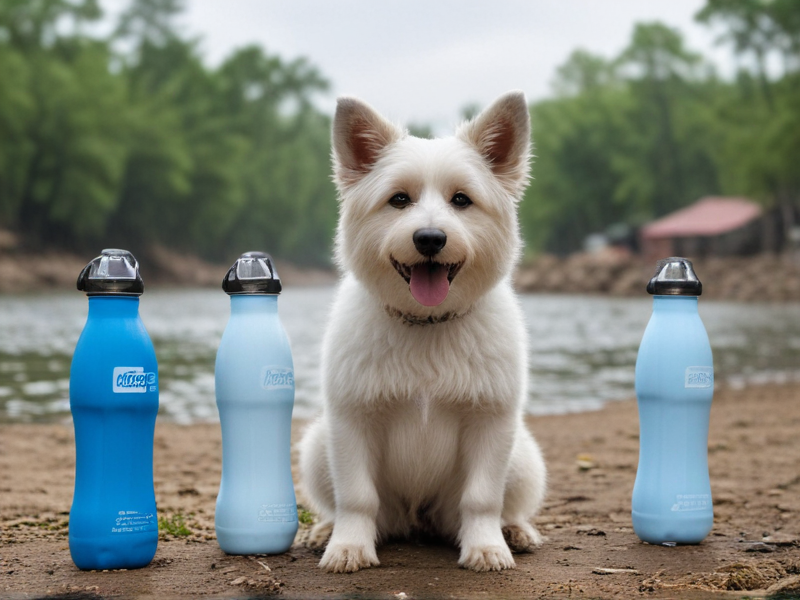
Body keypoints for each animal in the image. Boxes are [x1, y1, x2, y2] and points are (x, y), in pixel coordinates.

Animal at [296, 91, 548, 576]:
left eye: (461, 200)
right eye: (399, 199)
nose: (430, 238)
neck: (427, 324)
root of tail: (418, 518)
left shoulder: (490, 421)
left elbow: (482, 498)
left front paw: (486, 547)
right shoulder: (353, 420)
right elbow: (356, 497)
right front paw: (349, 547)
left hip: (525, 458)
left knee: (505, 506)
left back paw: (515, 531)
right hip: (317, 446)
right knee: (340, 503)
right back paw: (324, 531)